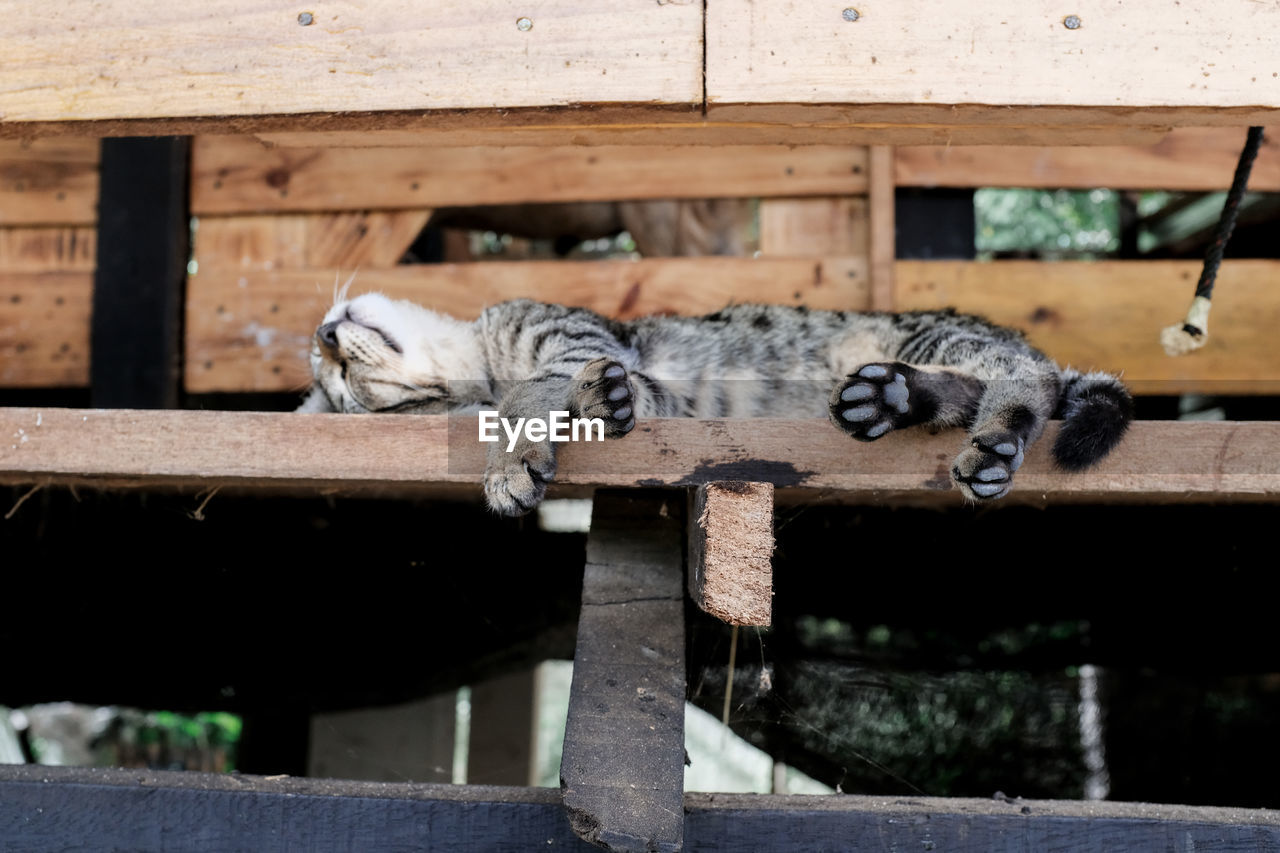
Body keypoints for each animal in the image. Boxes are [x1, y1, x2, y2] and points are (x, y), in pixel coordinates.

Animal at [296, 292, 1131, 514]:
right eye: (343, 387)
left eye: (329, 366)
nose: (326, 332)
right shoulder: (639, 380)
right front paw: (595, 406)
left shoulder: (573, 336)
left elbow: (534, 392)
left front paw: (511, 460)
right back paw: (892, 400)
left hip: (934, 333)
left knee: (1029, 376)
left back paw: (994, 435)